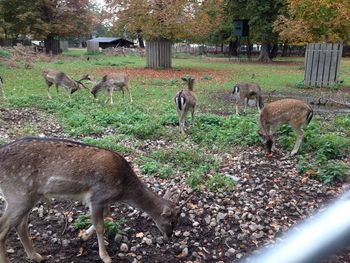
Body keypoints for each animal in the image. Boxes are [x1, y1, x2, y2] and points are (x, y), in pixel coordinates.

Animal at [0, 137, 191, 263]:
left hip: (28, 197)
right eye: (172, 220)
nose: (169, 236)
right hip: (18, 195)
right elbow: (101, 225)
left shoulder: (102, 200)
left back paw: (36, 256)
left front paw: (83, 236)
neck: (123, 189)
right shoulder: (98, 196)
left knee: (20, 224)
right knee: (4, 227)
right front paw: (105, 256)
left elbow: (106, 214)